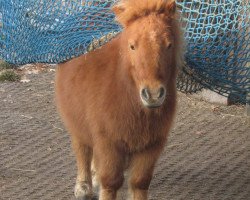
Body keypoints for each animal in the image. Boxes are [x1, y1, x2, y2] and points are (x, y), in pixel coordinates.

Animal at [55, 0, 183, 199]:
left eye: (169, 45)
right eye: (132, 46)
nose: (153, 94)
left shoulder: (151, 146)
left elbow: (139, 182)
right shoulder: (109, 143)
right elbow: (110, 182)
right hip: (76, 121)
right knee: (82, 149)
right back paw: (83, 186)